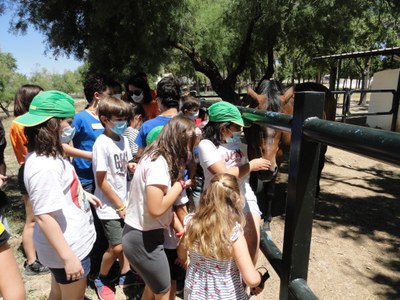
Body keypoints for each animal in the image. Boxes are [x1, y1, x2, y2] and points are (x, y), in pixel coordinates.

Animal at [241, 79, 338, 225]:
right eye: (257, 125)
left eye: (281, 126)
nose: (266, 170)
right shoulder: (252, 150)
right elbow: (253, 183)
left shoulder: (279, 155)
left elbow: (270, 191)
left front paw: (267, 219)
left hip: (323, 146)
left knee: (320, 166)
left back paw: (316, 193)